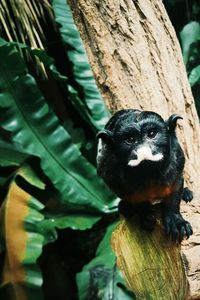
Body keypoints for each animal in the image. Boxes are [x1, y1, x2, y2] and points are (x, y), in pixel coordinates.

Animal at [97, 109, 194, 241]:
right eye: (130, 139)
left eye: (152, 134)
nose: (143, 151)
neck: (149, 175)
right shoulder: (110, 172)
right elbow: (135, 198)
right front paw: (145, 214)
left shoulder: (177, 157)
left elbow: (175, 188)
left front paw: (176, 220)